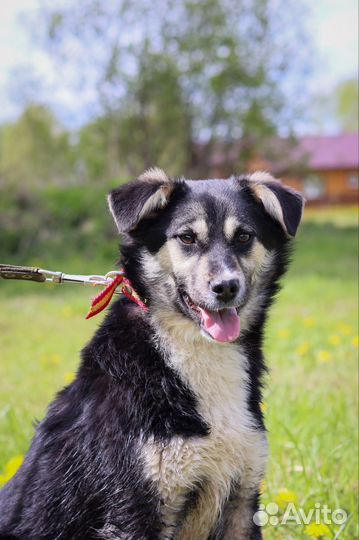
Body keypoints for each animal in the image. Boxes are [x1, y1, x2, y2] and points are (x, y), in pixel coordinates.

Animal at [0, 167, 304, 536]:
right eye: (186, 238)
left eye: (244, 236)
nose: (226, 287)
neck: (196, 352)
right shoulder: (134, 508)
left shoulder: (242, 501)